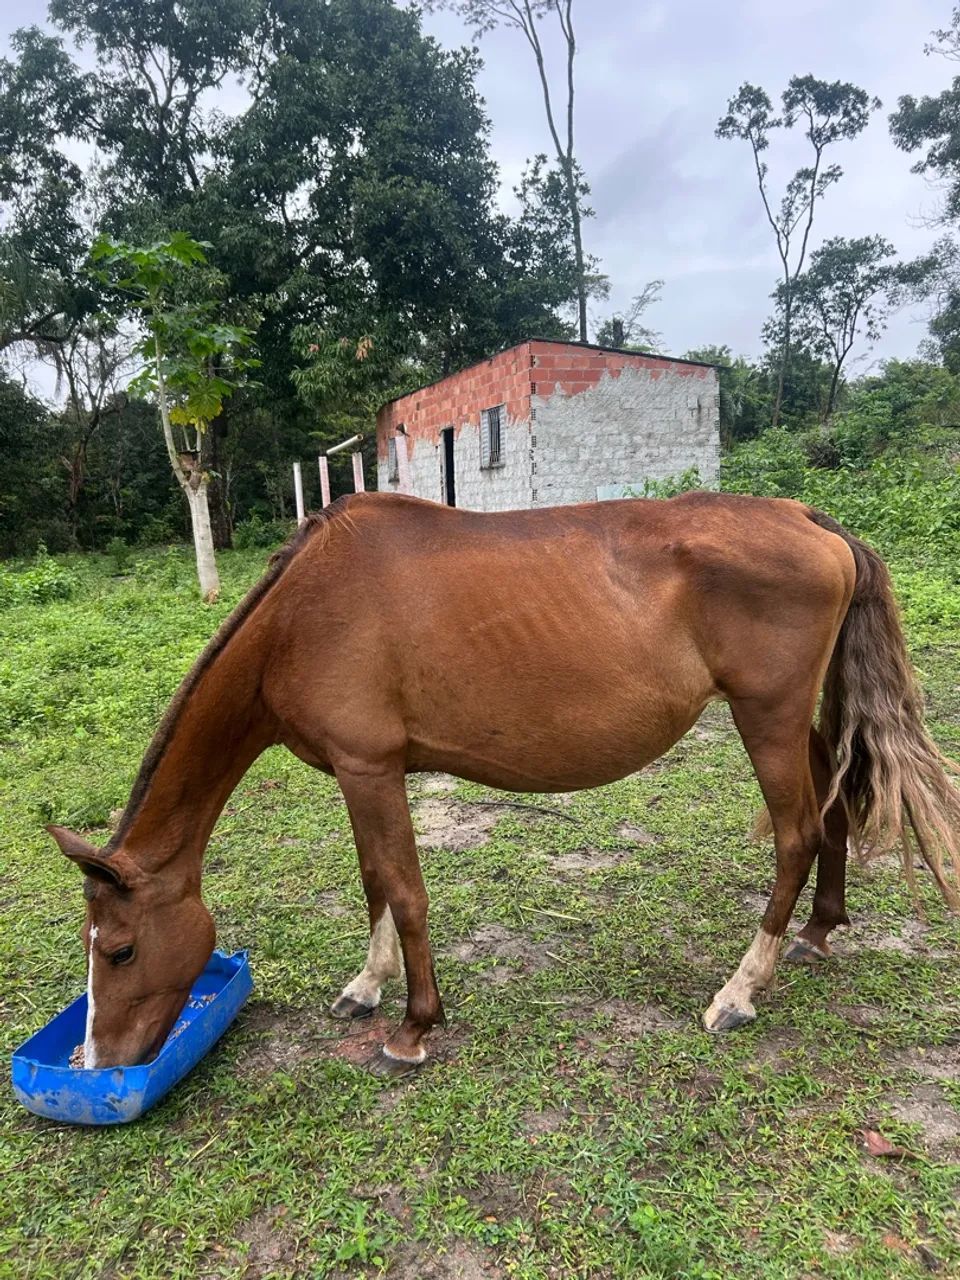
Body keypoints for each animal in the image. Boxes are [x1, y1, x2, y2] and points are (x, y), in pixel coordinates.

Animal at [48, 491, 960, 1077]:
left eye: (120, 948)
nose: (99, 1061)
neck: (301, 616)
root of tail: (809, 520)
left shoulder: (370, 768)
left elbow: (403, 891)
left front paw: (413, 1028)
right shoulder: (359, 772)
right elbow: (373, 881)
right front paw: (365, 987)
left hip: (764, 716)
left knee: (796, 836)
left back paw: (740, 991)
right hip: (791, 718)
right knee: (835, 809)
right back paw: (818, 933)